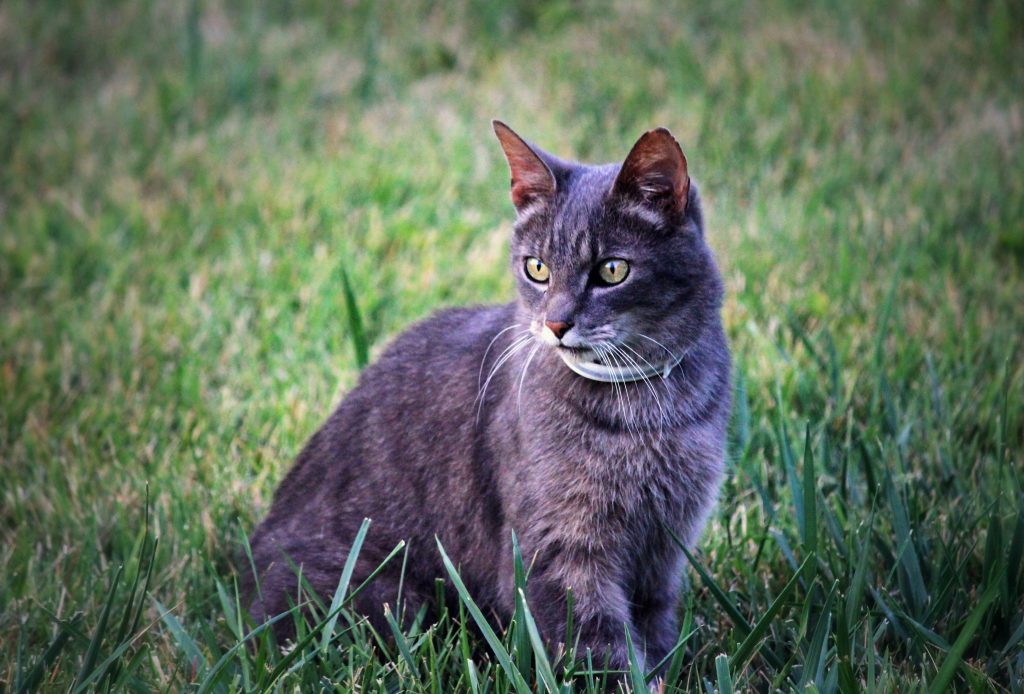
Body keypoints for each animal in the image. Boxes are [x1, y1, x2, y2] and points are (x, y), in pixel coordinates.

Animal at [244, 120, 733, 675]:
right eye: (537, 268)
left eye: (612, 270)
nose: (556, 324)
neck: (646, 409)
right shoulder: (561, 549)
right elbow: (595, 648)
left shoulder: (663, 552)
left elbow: (654, 634)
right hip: (384, 597)